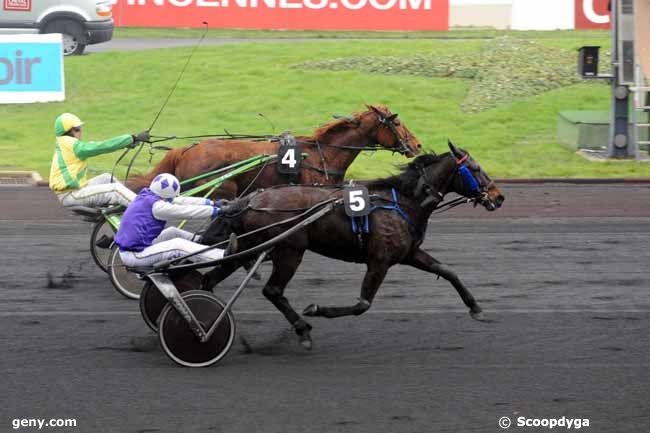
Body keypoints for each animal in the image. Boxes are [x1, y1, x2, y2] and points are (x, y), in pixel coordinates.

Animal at [200, 143, 504, 350]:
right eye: (476, 169)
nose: (499, 197)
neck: (402, 202)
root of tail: (249, 200)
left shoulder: (408, 253)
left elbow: (448, 271)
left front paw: (476, 309)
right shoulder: (379, 261)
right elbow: (362, 304)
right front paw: (316, 309)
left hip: (249, 246)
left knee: (211, 279)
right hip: (289, 250)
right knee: (272, 290)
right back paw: (302, 329)